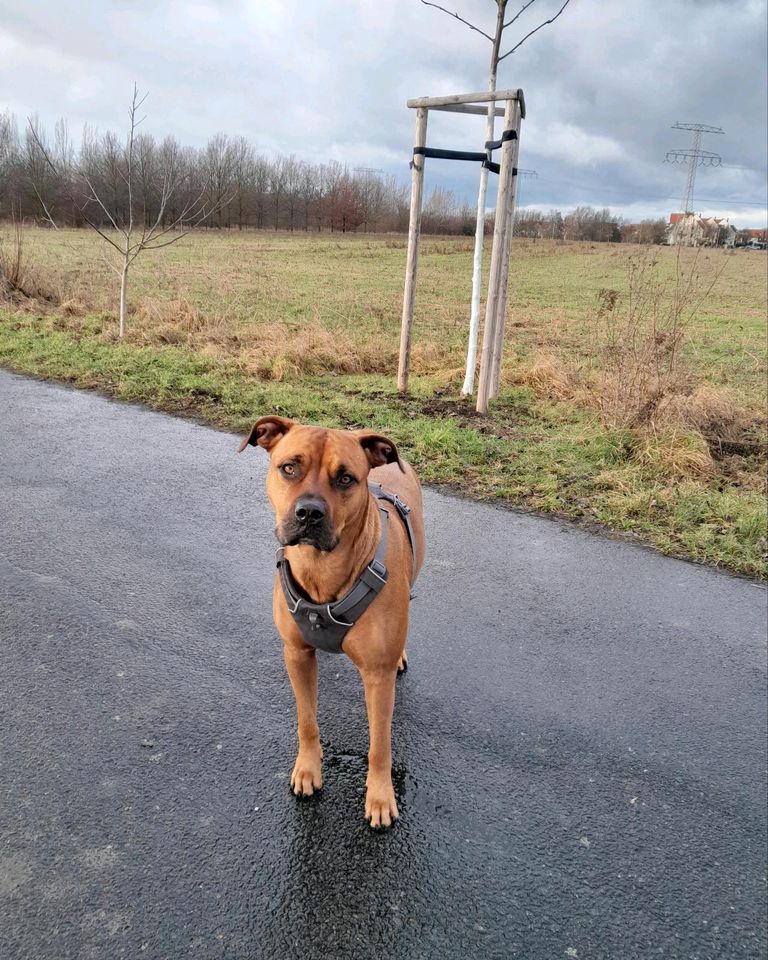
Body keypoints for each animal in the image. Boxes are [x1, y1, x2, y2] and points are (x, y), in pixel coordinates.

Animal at [238, 416, 426, 828]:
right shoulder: (296, 654)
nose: (309, 513)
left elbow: (379, 745)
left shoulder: (378, 677)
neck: (322, 570)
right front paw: (308, 769)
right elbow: (307, 721)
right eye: (289, 468)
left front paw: (380, 796)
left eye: (345, 479)